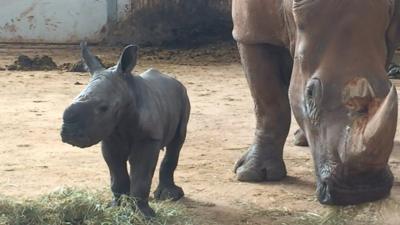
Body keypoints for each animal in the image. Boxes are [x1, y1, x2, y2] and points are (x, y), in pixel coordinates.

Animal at [60, 42, 191, 218]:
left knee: (177, 141)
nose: (68, 133)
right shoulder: (109, 138)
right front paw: (116, 207)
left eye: (104, 108)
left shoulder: (149, 139)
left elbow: (141, 176)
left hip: (183, 96)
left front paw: (144, 215)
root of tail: (173, 79)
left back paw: (170, 196)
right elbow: (116, 174)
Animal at [231, 0, 400, 206]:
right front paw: (252, 175)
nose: (363, 190)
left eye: (388, 88)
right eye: (310, 94)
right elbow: (268, 102)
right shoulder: (249, 32)